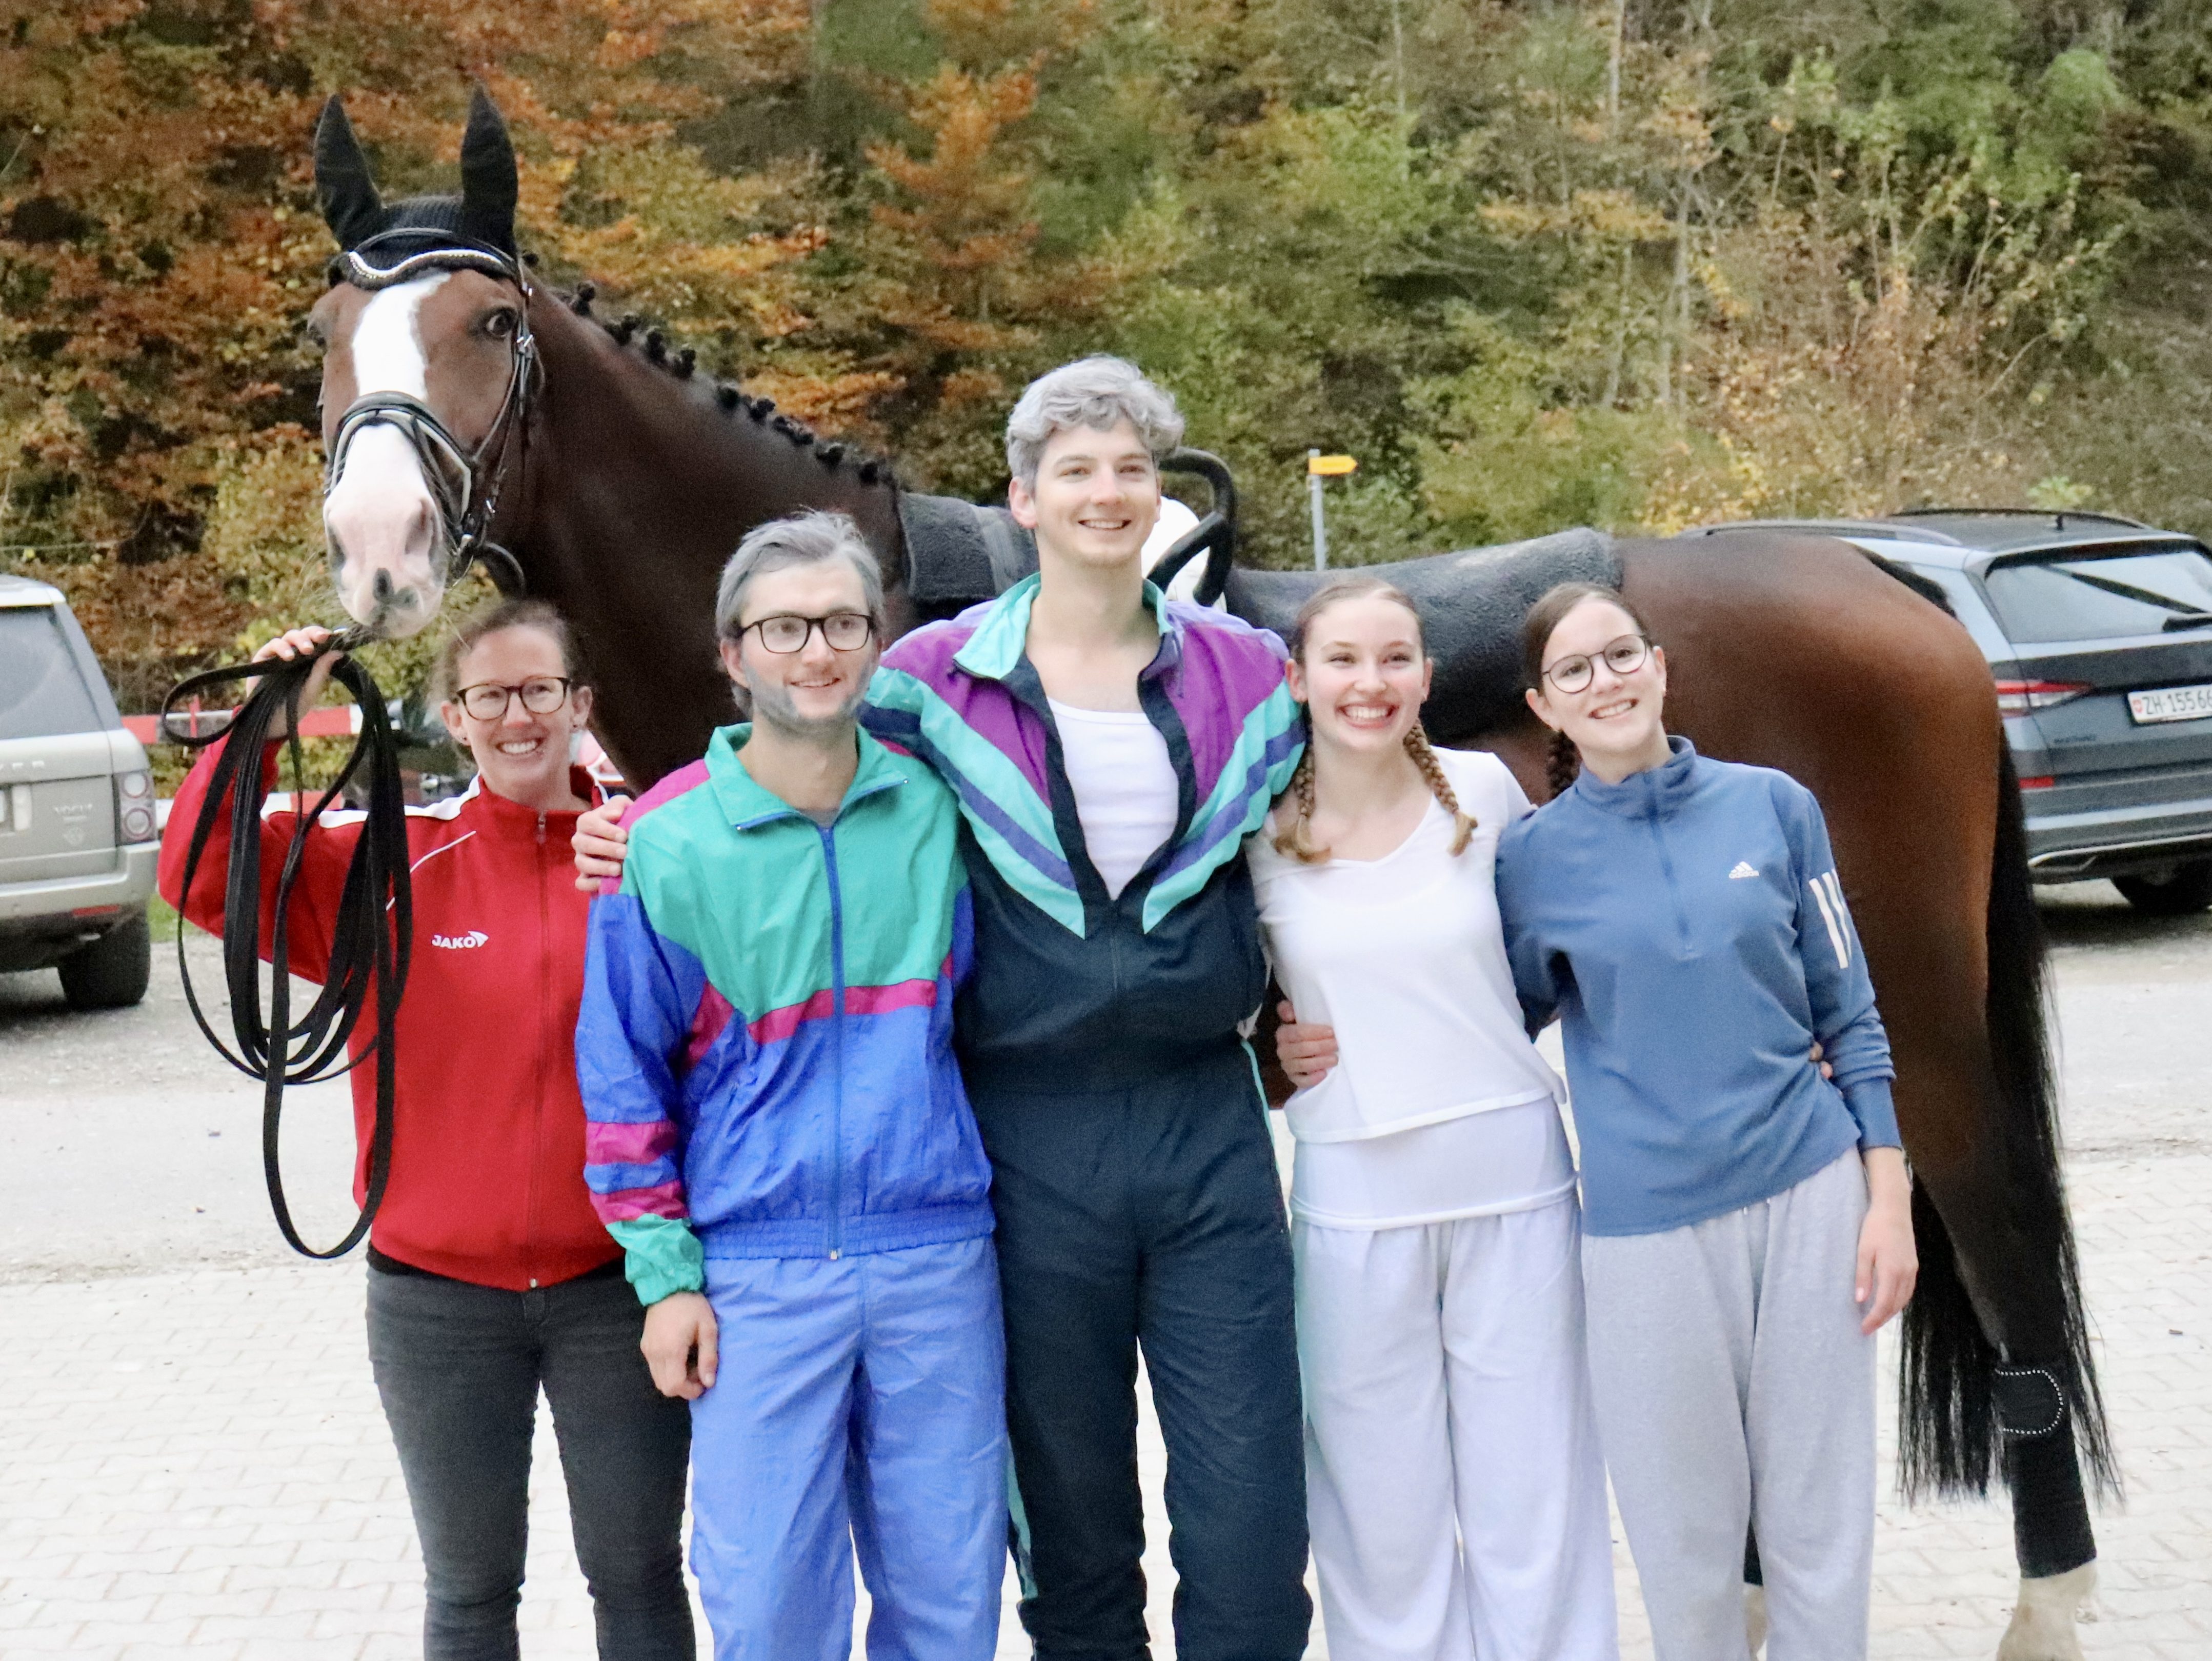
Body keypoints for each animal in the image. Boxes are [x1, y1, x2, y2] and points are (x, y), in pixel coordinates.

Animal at [298, 90, 2110, 1657]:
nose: (379, 550)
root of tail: (1894, 589)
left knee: (2004, 1254)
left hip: (1920, 1037)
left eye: (491, 326)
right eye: (325, 338)